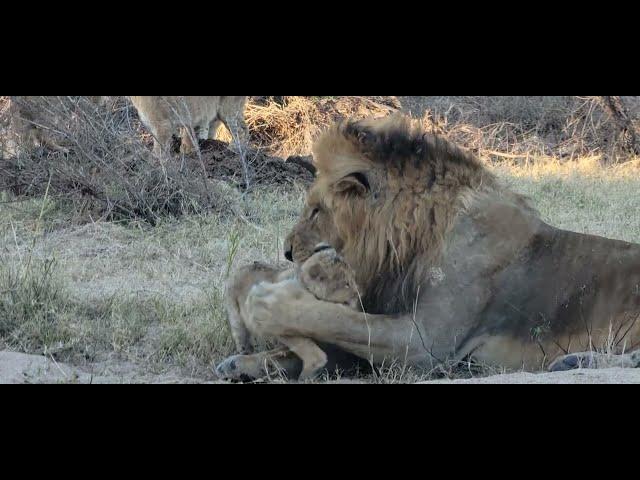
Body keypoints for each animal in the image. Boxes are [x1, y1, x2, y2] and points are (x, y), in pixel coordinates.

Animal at [225, 246, 362, 380]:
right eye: (346, 284)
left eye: (354, 278)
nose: (358, 294)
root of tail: (243, 267)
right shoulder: (277, 321)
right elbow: (302, 345)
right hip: (236, 318)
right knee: (241, 337)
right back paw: (244, 352)